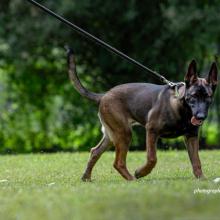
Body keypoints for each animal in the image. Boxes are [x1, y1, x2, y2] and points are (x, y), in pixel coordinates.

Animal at [66, 48, 217, 180]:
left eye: (208, 97)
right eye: (193, 96)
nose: (201, 117)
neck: (182, 108)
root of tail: (103, 95)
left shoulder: (191, 136)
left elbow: (196, 161)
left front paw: (201, 178)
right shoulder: (151, 131)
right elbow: (152, 158)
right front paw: (141, 172)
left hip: (112, 135)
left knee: (95, 152)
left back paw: (86, 177)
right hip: (124, 134)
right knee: (118, 162)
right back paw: (132, 179)